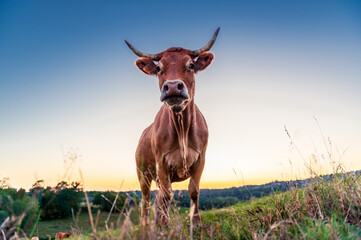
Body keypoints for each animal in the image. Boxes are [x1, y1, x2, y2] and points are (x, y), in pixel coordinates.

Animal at [125, 28, 218, 227]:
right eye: (159, 68)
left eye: (191, 65)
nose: (173, 86)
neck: (182, 127)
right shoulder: (162, 162)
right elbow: (167, 196)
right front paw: (164, 226)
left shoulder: (201, 158)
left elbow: (193, 190)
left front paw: (196, 223)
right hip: (142, 173)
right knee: (146, 199)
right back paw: (146, 225)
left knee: (159, 197)